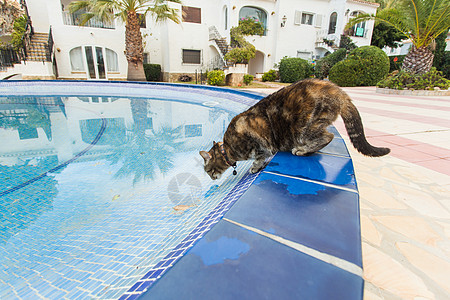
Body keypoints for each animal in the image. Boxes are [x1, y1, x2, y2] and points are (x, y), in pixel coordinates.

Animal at [200, 78, 390, 179]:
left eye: (207, 170)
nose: (210, 177)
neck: (228, 149)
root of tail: (339, 92)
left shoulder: (262, 145)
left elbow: (259, 158)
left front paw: (254, 167)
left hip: (304, 128)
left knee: (327, 136)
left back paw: (302, 150)